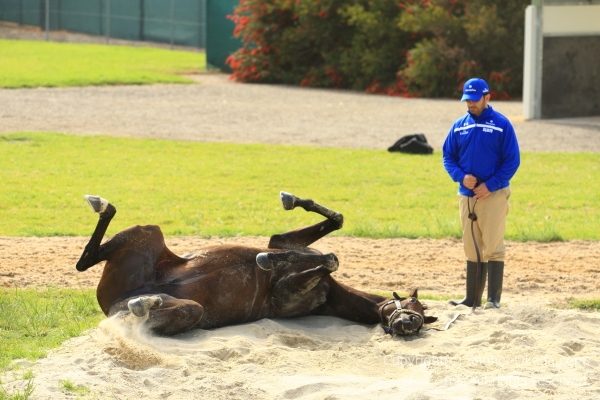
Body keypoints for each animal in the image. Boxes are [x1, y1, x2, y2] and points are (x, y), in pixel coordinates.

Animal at [77, 192, 438, 336]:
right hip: (147, 233)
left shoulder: (283, 294)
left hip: (185, 309)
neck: (332, 294)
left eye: (423, 320)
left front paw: (269, 260)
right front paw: (291, 205)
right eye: (414, 306)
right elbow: (332, 231)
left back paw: (144, 303)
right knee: (85, 260)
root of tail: (115, 300)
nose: (408, 325)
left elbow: (329, 259)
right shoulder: (282, 243)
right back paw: (101, 205)